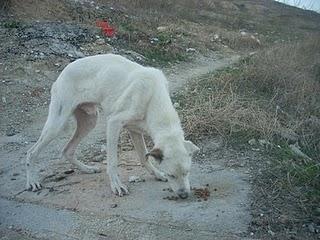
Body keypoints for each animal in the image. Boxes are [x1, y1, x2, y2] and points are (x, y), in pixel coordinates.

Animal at [26, 54, 199, 199]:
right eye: (171, 175)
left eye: (187, 172)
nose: (184, 195)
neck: (153, 97)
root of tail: (63, 72)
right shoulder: (113, 124)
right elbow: (113, 162)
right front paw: (116, 185)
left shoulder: (135, 131)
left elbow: (143, 157)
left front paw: (156, 174)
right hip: (57, 124)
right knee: (31, 152)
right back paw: (32, 181)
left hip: (90, 121)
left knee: (67, 150)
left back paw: (87, 169)